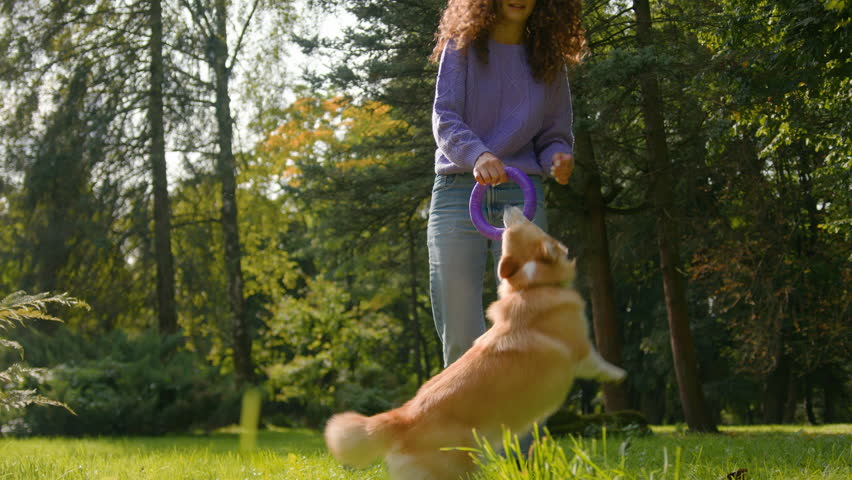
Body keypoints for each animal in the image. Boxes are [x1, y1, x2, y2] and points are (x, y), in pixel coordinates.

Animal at [326, 206, 624, 480]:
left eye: (511, 232)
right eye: (523, 224)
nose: (507, 207)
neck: (531, 286)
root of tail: (402, 417)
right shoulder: (581, 350)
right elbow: (599, 364)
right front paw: (620, 375)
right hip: (459, 465)